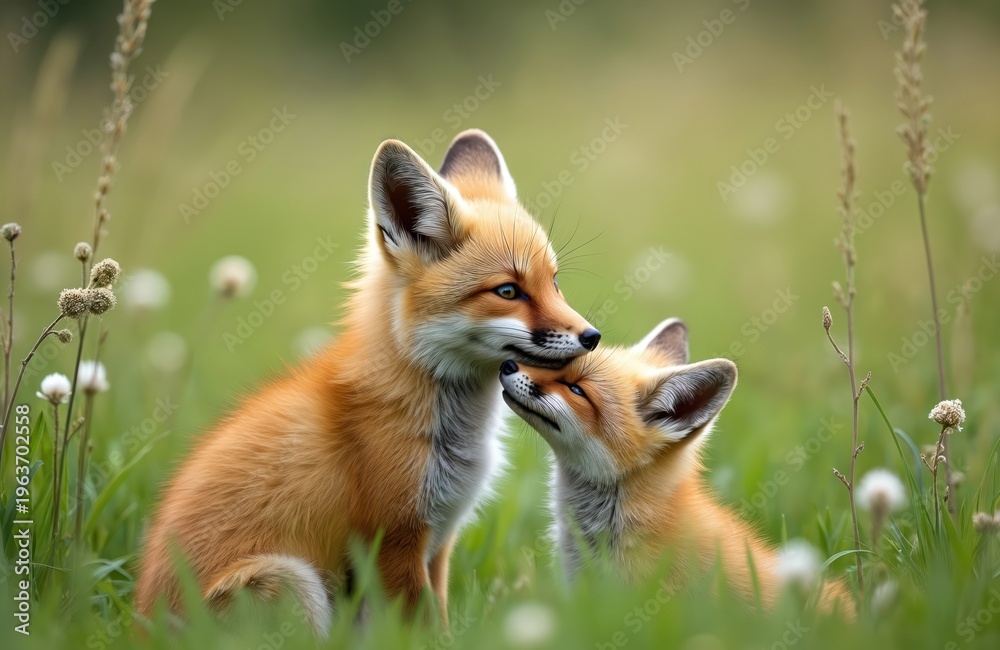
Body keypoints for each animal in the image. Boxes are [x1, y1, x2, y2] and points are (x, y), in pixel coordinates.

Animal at [135, 129, 601, 634]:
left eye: (555, 283)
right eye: (509, 291)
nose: (593, 337)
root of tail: (139, 621)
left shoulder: (439, 540)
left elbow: (438, 619)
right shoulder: (395, 540)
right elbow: (420, 630)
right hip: (293, 580)